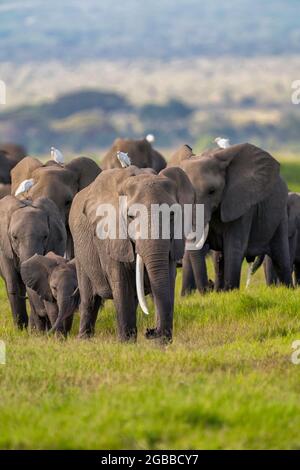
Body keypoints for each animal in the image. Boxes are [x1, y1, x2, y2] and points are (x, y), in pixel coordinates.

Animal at [69, 165, 193, 342]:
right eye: (131, 216)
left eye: (172, 214)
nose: (150, 331)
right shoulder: (111, 238)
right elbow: (121, 283)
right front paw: (125, 343)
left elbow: (167, 279)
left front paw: (162, 343)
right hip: (80, 250)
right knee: (89, 299)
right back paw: (84, 340)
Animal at [172, 141, 292, 292]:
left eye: (212, 191)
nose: (209, 286)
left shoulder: (241, 204)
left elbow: (234, 247)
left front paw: (231, 292)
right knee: (220, 259)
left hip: (280, 212)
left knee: (281, 258)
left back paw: (289, 289)